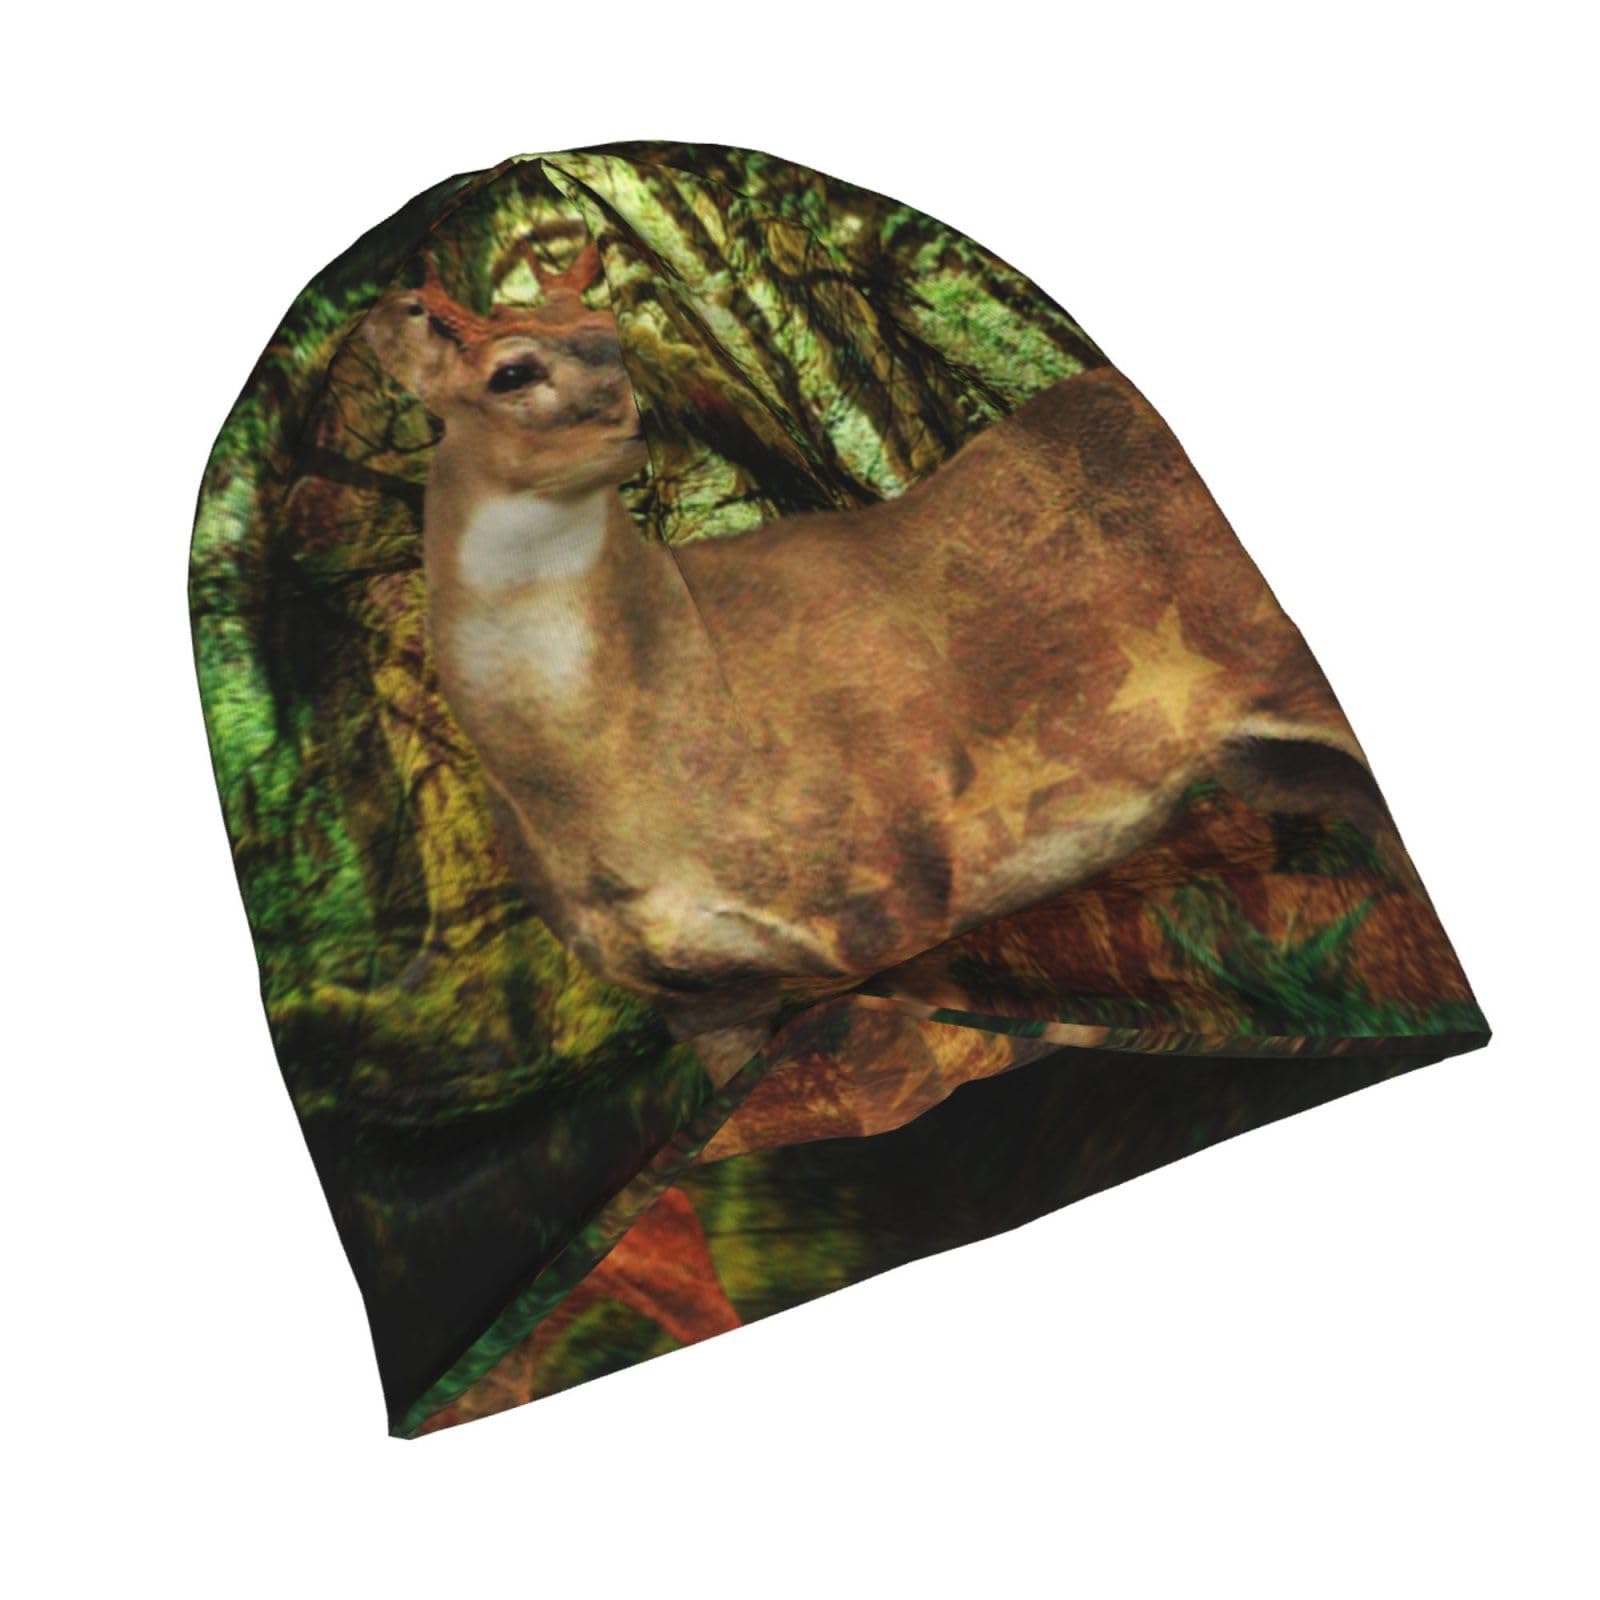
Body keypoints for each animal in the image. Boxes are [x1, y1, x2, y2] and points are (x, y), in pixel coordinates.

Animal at [362, 243, 1391, 1060]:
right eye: (511, 372)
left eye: (611, 329)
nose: (633, 424)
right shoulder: (696, 999)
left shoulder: (900, 888)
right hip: (1268, 759)